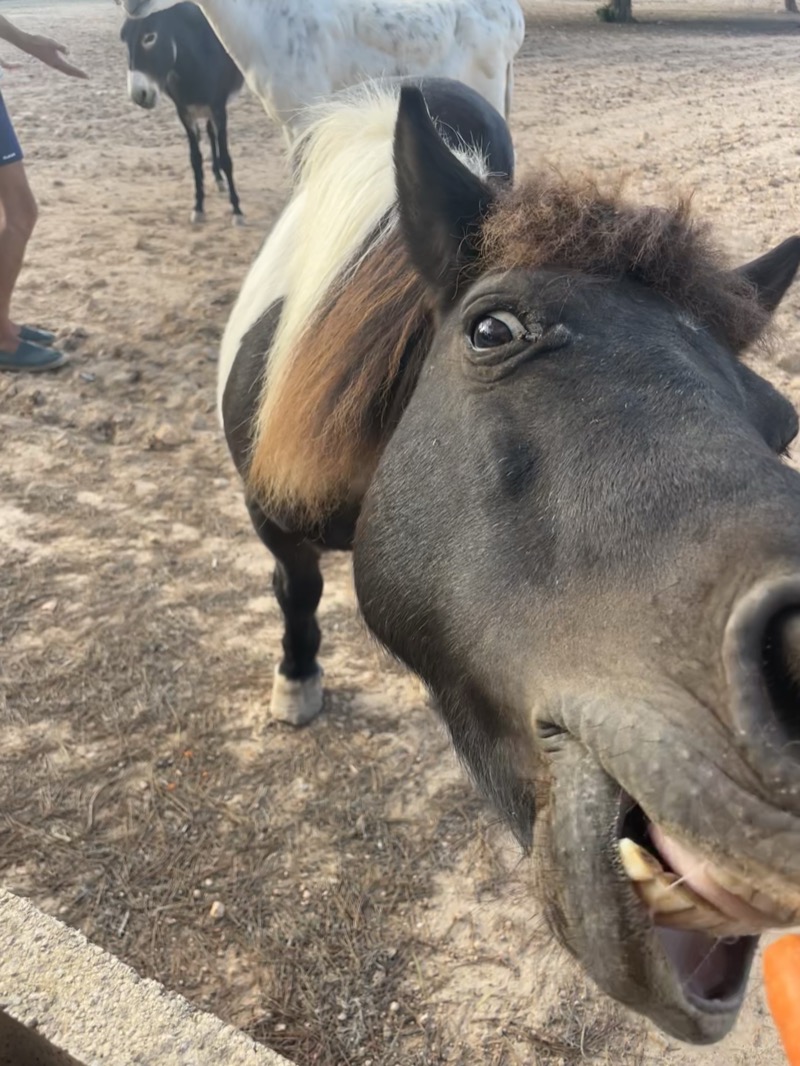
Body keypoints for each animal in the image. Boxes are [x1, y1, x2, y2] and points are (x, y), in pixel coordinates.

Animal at [120, 2, 245, 225]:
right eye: (123, 38)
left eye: (150, 37)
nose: (138, 96)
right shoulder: (184, 113)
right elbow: (195, 160)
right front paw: (198, 207)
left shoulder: (219, 109)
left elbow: (227, 159)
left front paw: (237, 210)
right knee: (210, 133)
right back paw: (217, 177)